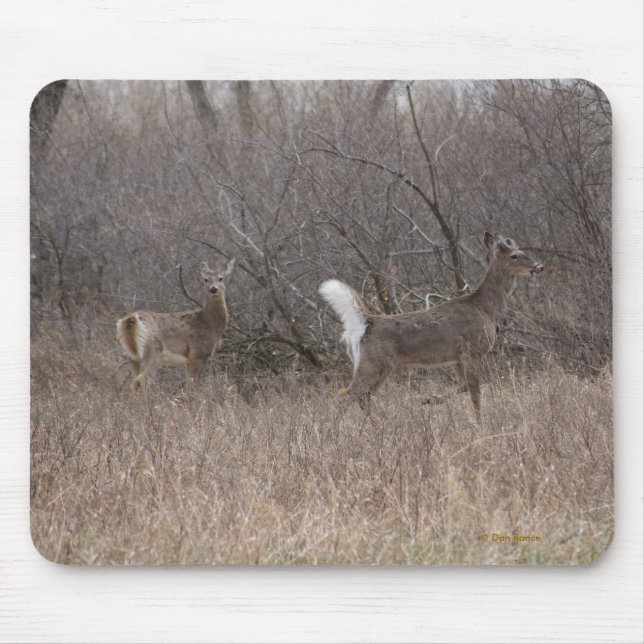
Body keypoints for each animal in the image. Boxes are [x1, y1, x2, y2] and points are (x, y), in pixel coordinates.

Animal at [117, 258, 235, 393]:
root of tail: (129, 320)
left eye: (221, 278)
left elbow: (189, 385)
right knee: (142, 380)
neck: (211, 323)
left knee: (134, 381)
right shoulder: (198, 354)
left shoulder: (189, 360)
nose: (213, 289)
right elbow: (194, 387)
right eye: (205, 279)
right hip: (153, 351)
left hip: (131, 356)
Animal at [319, 232, 543, 418]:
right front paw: (480, 423)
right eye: (515, 255)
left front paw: (429, 399)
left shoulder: (456, 357)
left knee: (363, 397)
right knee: (345, 395)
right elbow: (475, 393)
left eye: (522, 251)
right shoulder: (472, 350)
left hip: (380, 365)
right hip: (374, 362)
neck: (487, 309)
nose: (537, 266)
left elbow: (464, 386)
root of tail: (366, 323)